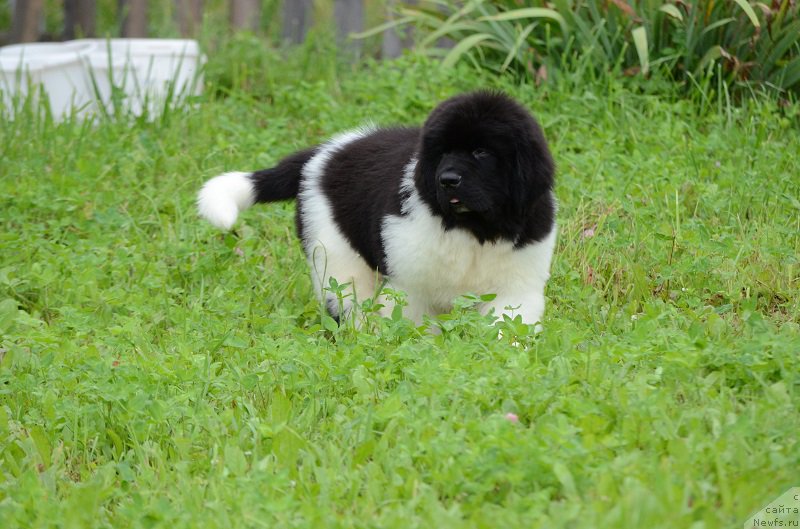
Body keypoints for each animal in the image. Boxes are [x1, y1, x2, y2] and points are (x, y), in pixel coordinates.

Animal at [198, 91, 556, 326]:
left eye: (481, 152)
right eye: (441, 152)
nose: (446, 180)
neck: (473, 227)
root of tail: (321, 155)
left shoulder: (517, 285)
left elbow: (509, 328)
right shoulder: (410, 285)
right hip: (333, 252)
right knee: (348, 301)